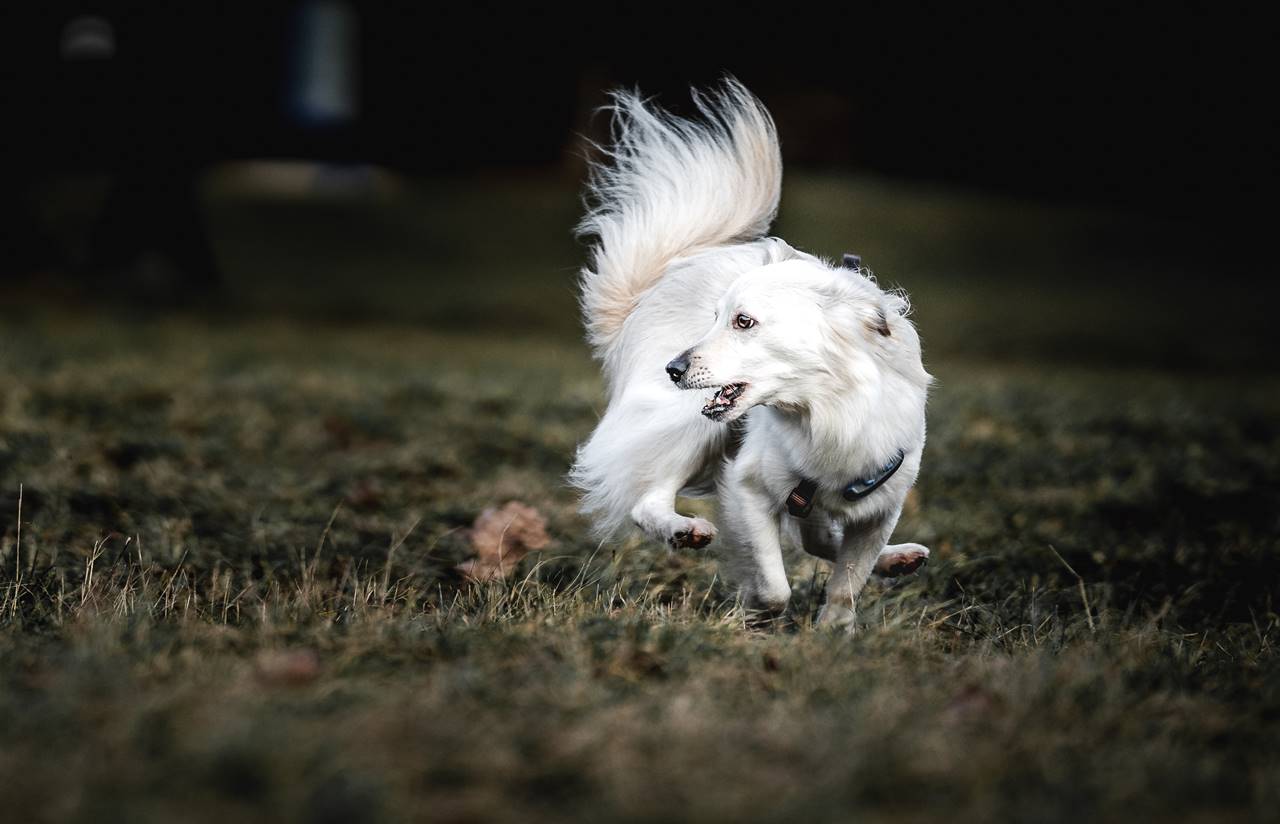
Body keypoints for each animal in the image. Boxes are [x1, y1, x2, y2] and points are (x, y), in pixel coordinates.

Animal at [570, 80, 931, 626]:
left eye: (744, 322)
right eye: (715, 317)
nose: (673, 367)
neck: (825, 411)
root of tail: (654, 286)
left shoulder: (880, 507)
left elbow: (847, 583)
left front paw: (834, 633)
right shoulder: (747, 486)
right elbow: (774, 582)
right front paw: (756, 611)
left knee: (820, 537)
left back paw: (897, 559)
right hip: (689, 425)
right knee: (646, 499)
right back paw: (683, 529)